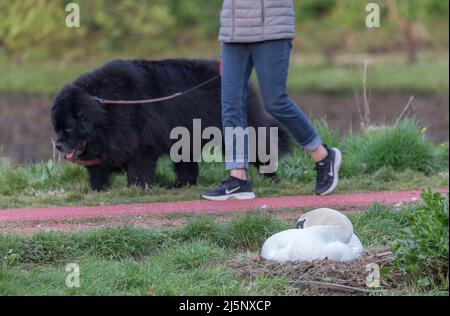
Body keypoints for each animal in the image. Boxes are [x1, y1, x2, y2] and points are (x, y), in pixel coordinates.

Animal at [51, 60, 292, 191]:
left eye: (69, 128)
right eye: (57, 128)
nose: (58, 145)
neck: (105, 107)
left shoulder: (140, 142)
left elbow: (139, 167)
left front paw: (137, 187)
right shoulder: (105, 144)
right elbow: (97, 168)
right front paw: (97, 189)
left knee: (262, 147)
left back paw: (271, 176)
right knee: (186, 164)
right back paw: (182, 184)